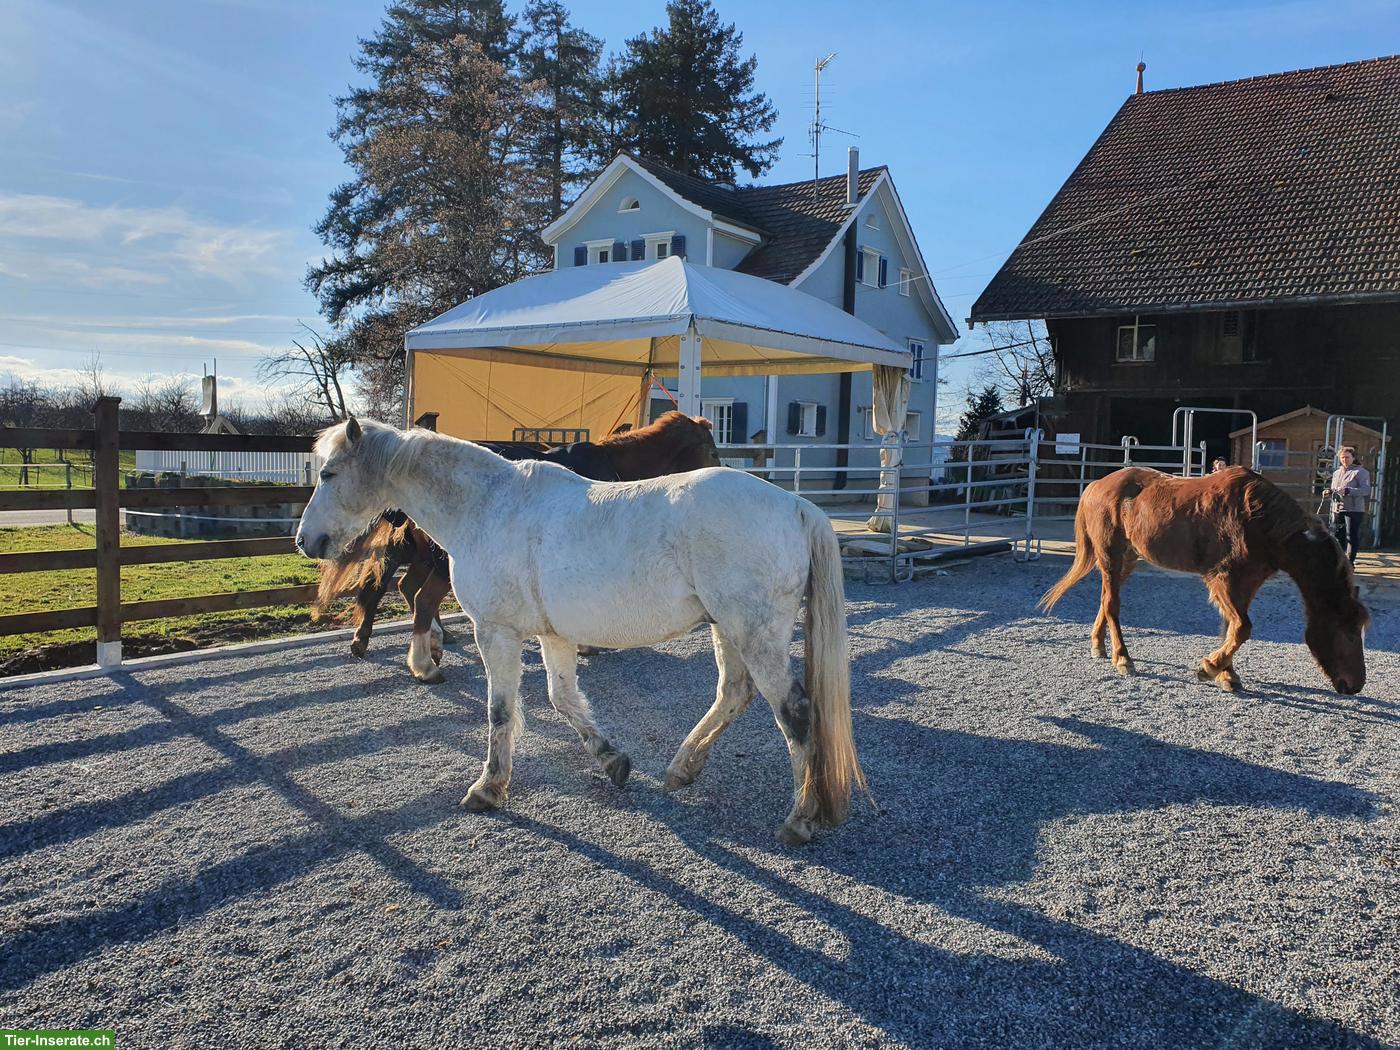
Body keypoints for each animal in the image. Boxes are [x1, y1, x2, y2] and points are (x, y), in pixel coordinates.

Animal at [315, 411, 722, 682]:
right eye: (714, 452)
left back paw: (428, 641)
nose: (728, 468)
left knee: (405, 587)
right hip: (441, 559)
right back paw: (420, 660)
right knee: (417, 595)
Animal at [1040, 466, 1369, 694]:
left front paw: (1227, 674)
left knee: (1106, 600)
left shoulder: (1245, 583)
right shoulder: (1223, 580)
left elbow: (1232, 628)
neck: (1259, 519)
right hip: (1111, 556)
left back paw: (1099, 646)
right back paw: (1123, 659)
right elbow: (1242, 628)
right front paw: (1209, 668)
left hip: (1128, 560)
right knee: (1112, 605)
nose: (1356, 686)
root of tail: (1096, 485)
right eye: (1350, 633)